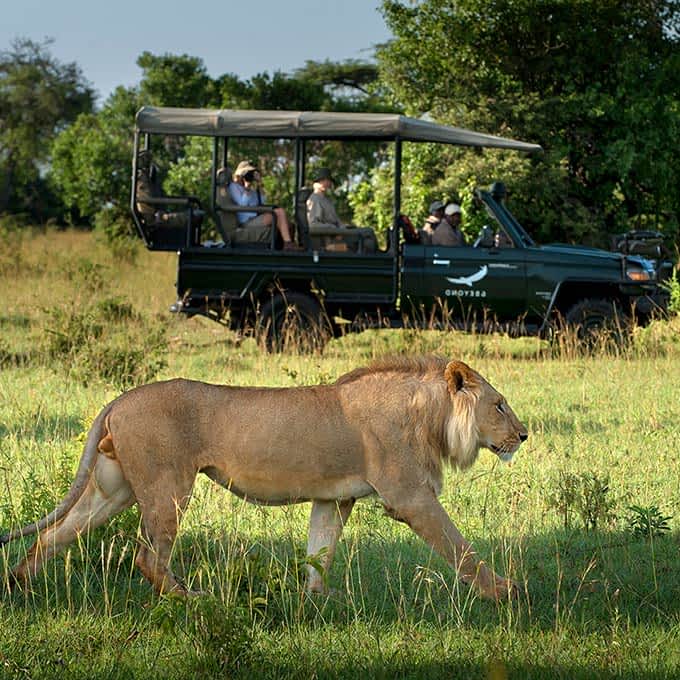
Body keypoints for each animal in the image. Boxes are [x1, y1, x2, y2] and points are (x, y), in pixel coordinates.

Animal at [0, 356, 524, 600]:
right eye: (498, 404)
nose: (524, 434)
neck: (430, 417)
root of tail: (119, 399)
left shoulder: (334, 499)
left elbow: (320, 550)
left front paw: (317, 601)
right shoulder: (410, 496)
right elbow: (460, 548)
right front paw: (503, 592)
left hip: (114, 490)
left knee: (54, 534)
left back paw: (19, 584)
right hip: (168, 487)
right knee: (148, 558)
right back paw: (194, 599)